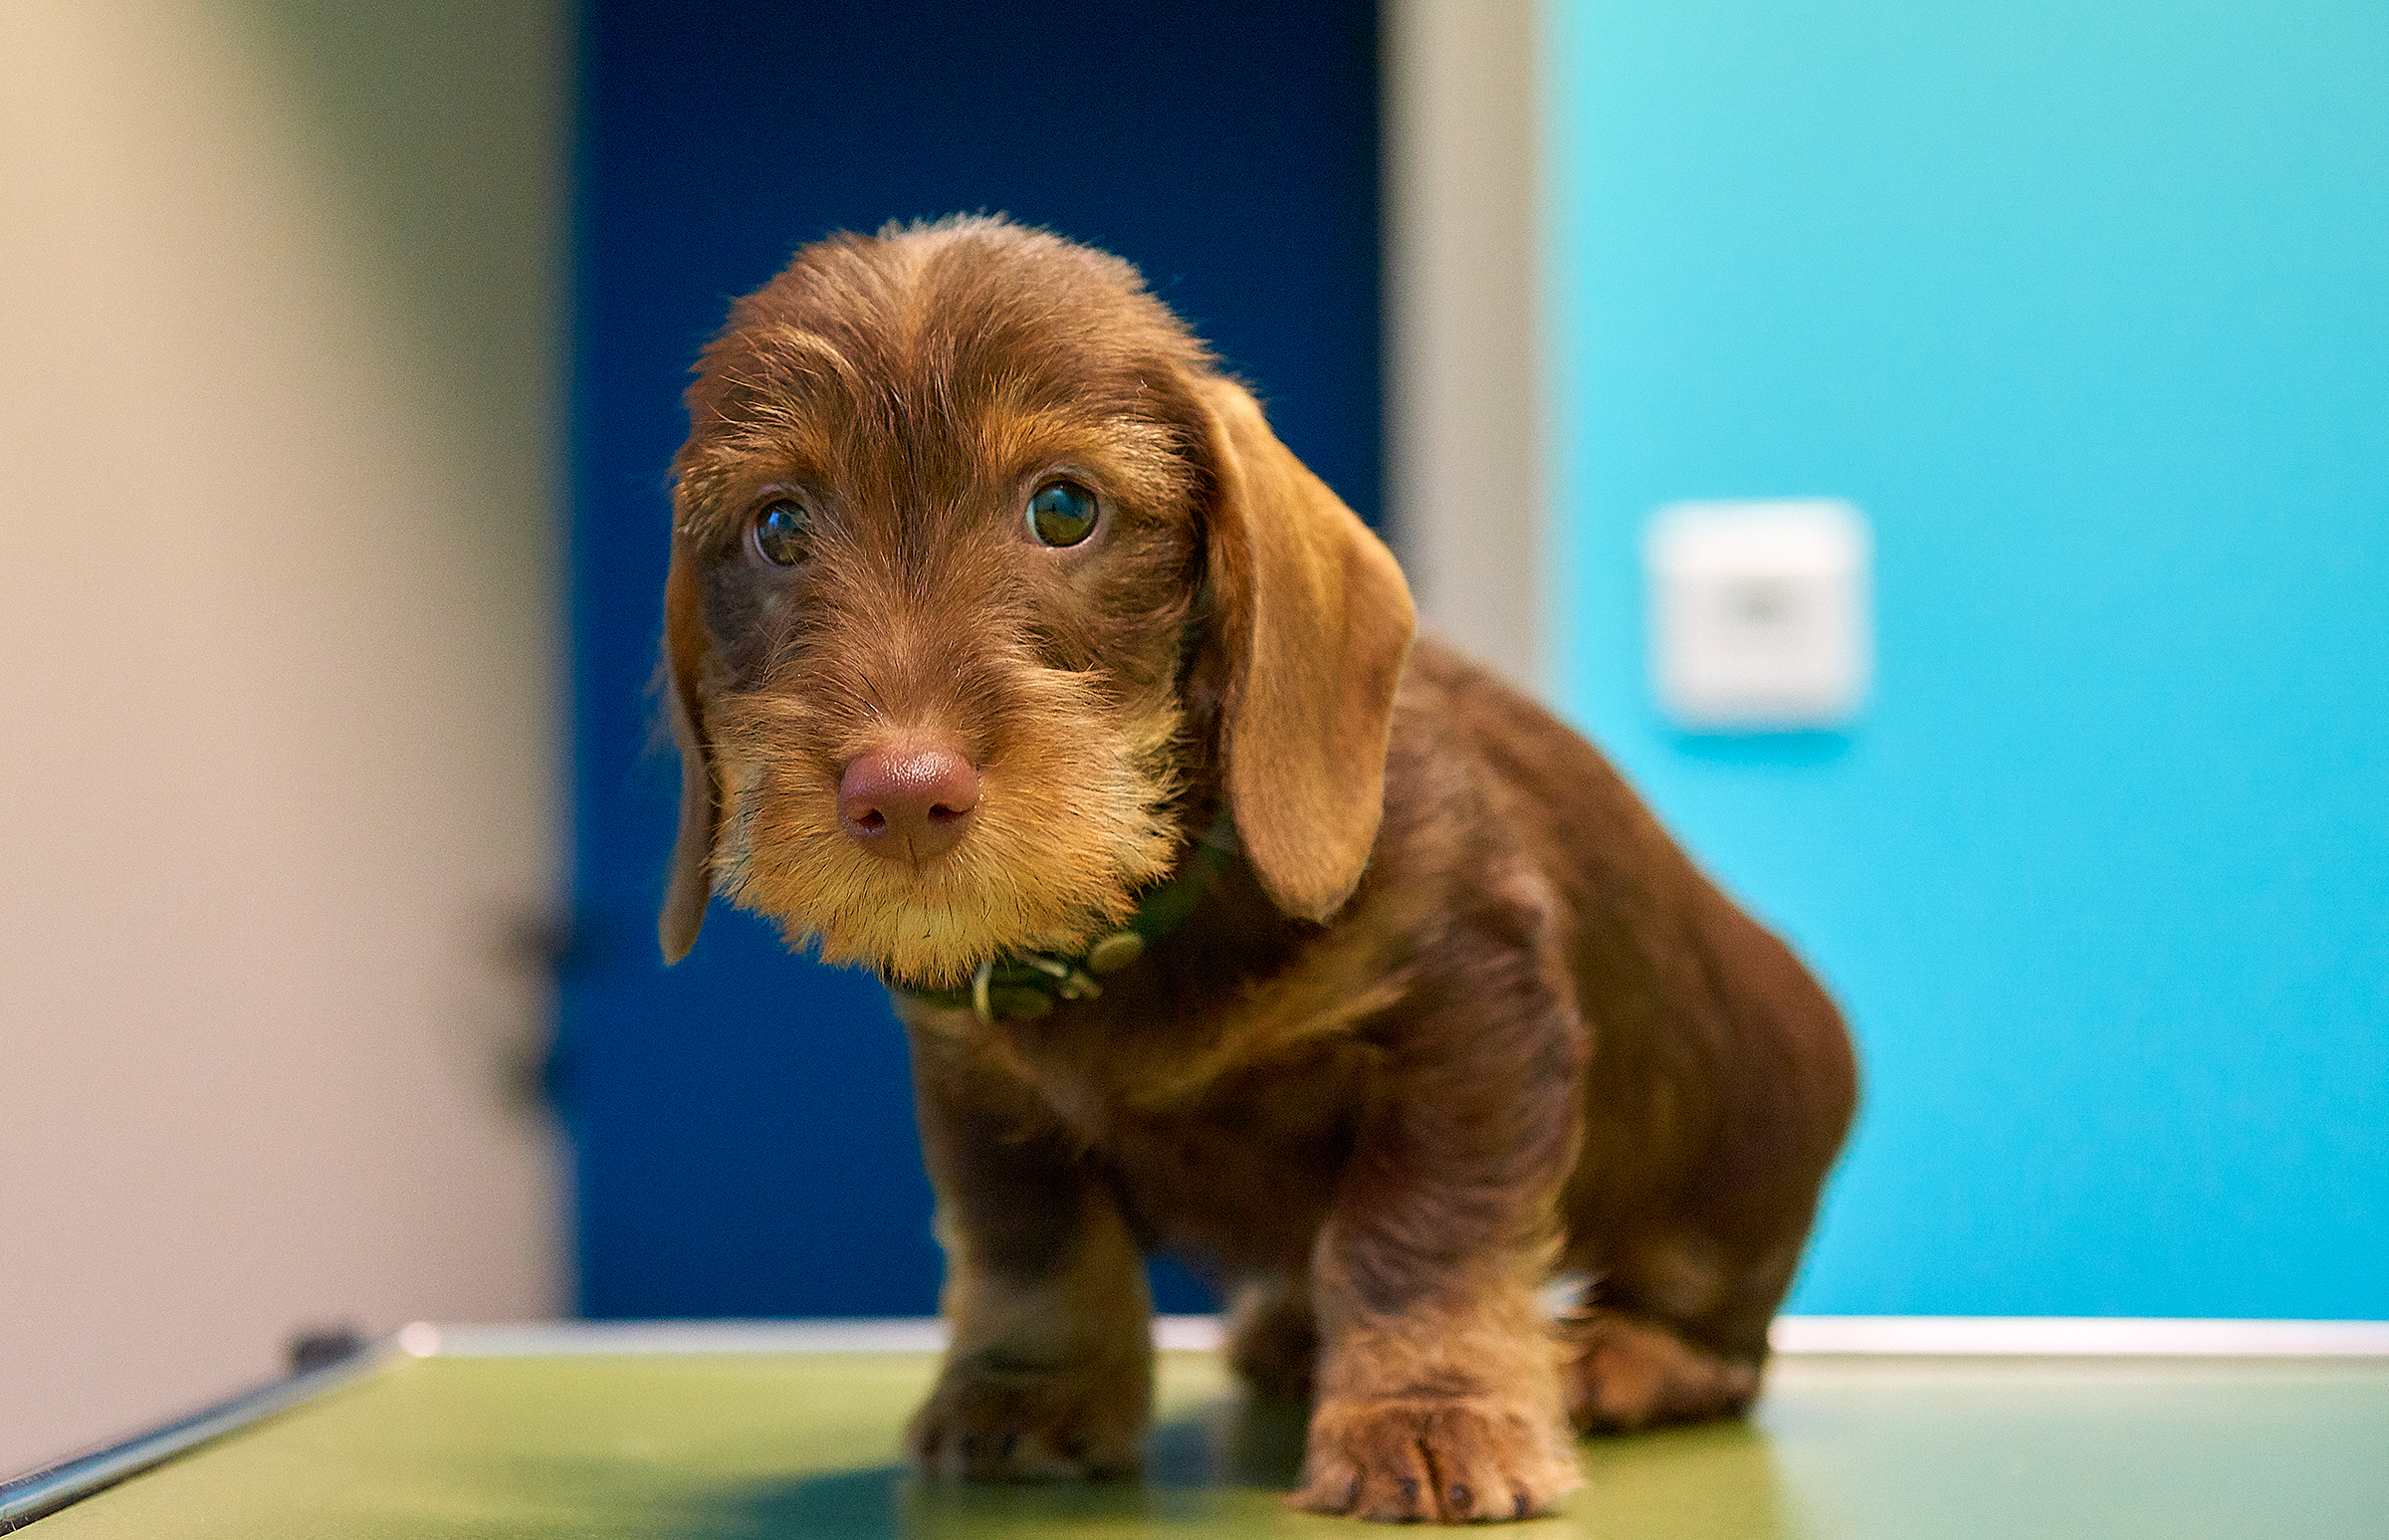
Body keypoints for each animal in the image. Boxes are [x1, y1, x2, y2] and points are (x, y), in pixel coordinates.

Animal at [659, 216, 1863, 1528]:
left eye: (1065, 507)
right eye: (779, 526)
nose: (902, 791)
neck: (1140, 919)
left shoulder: (1473, 1021)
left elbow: (1423, 1235)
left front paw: (1429, 1405)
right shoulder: (982, 1089)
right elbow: (1032, 1241)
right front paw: (1030, 1388)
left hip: (1737, 1161)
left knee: (1718, 1326)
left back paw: (1627, 1351)